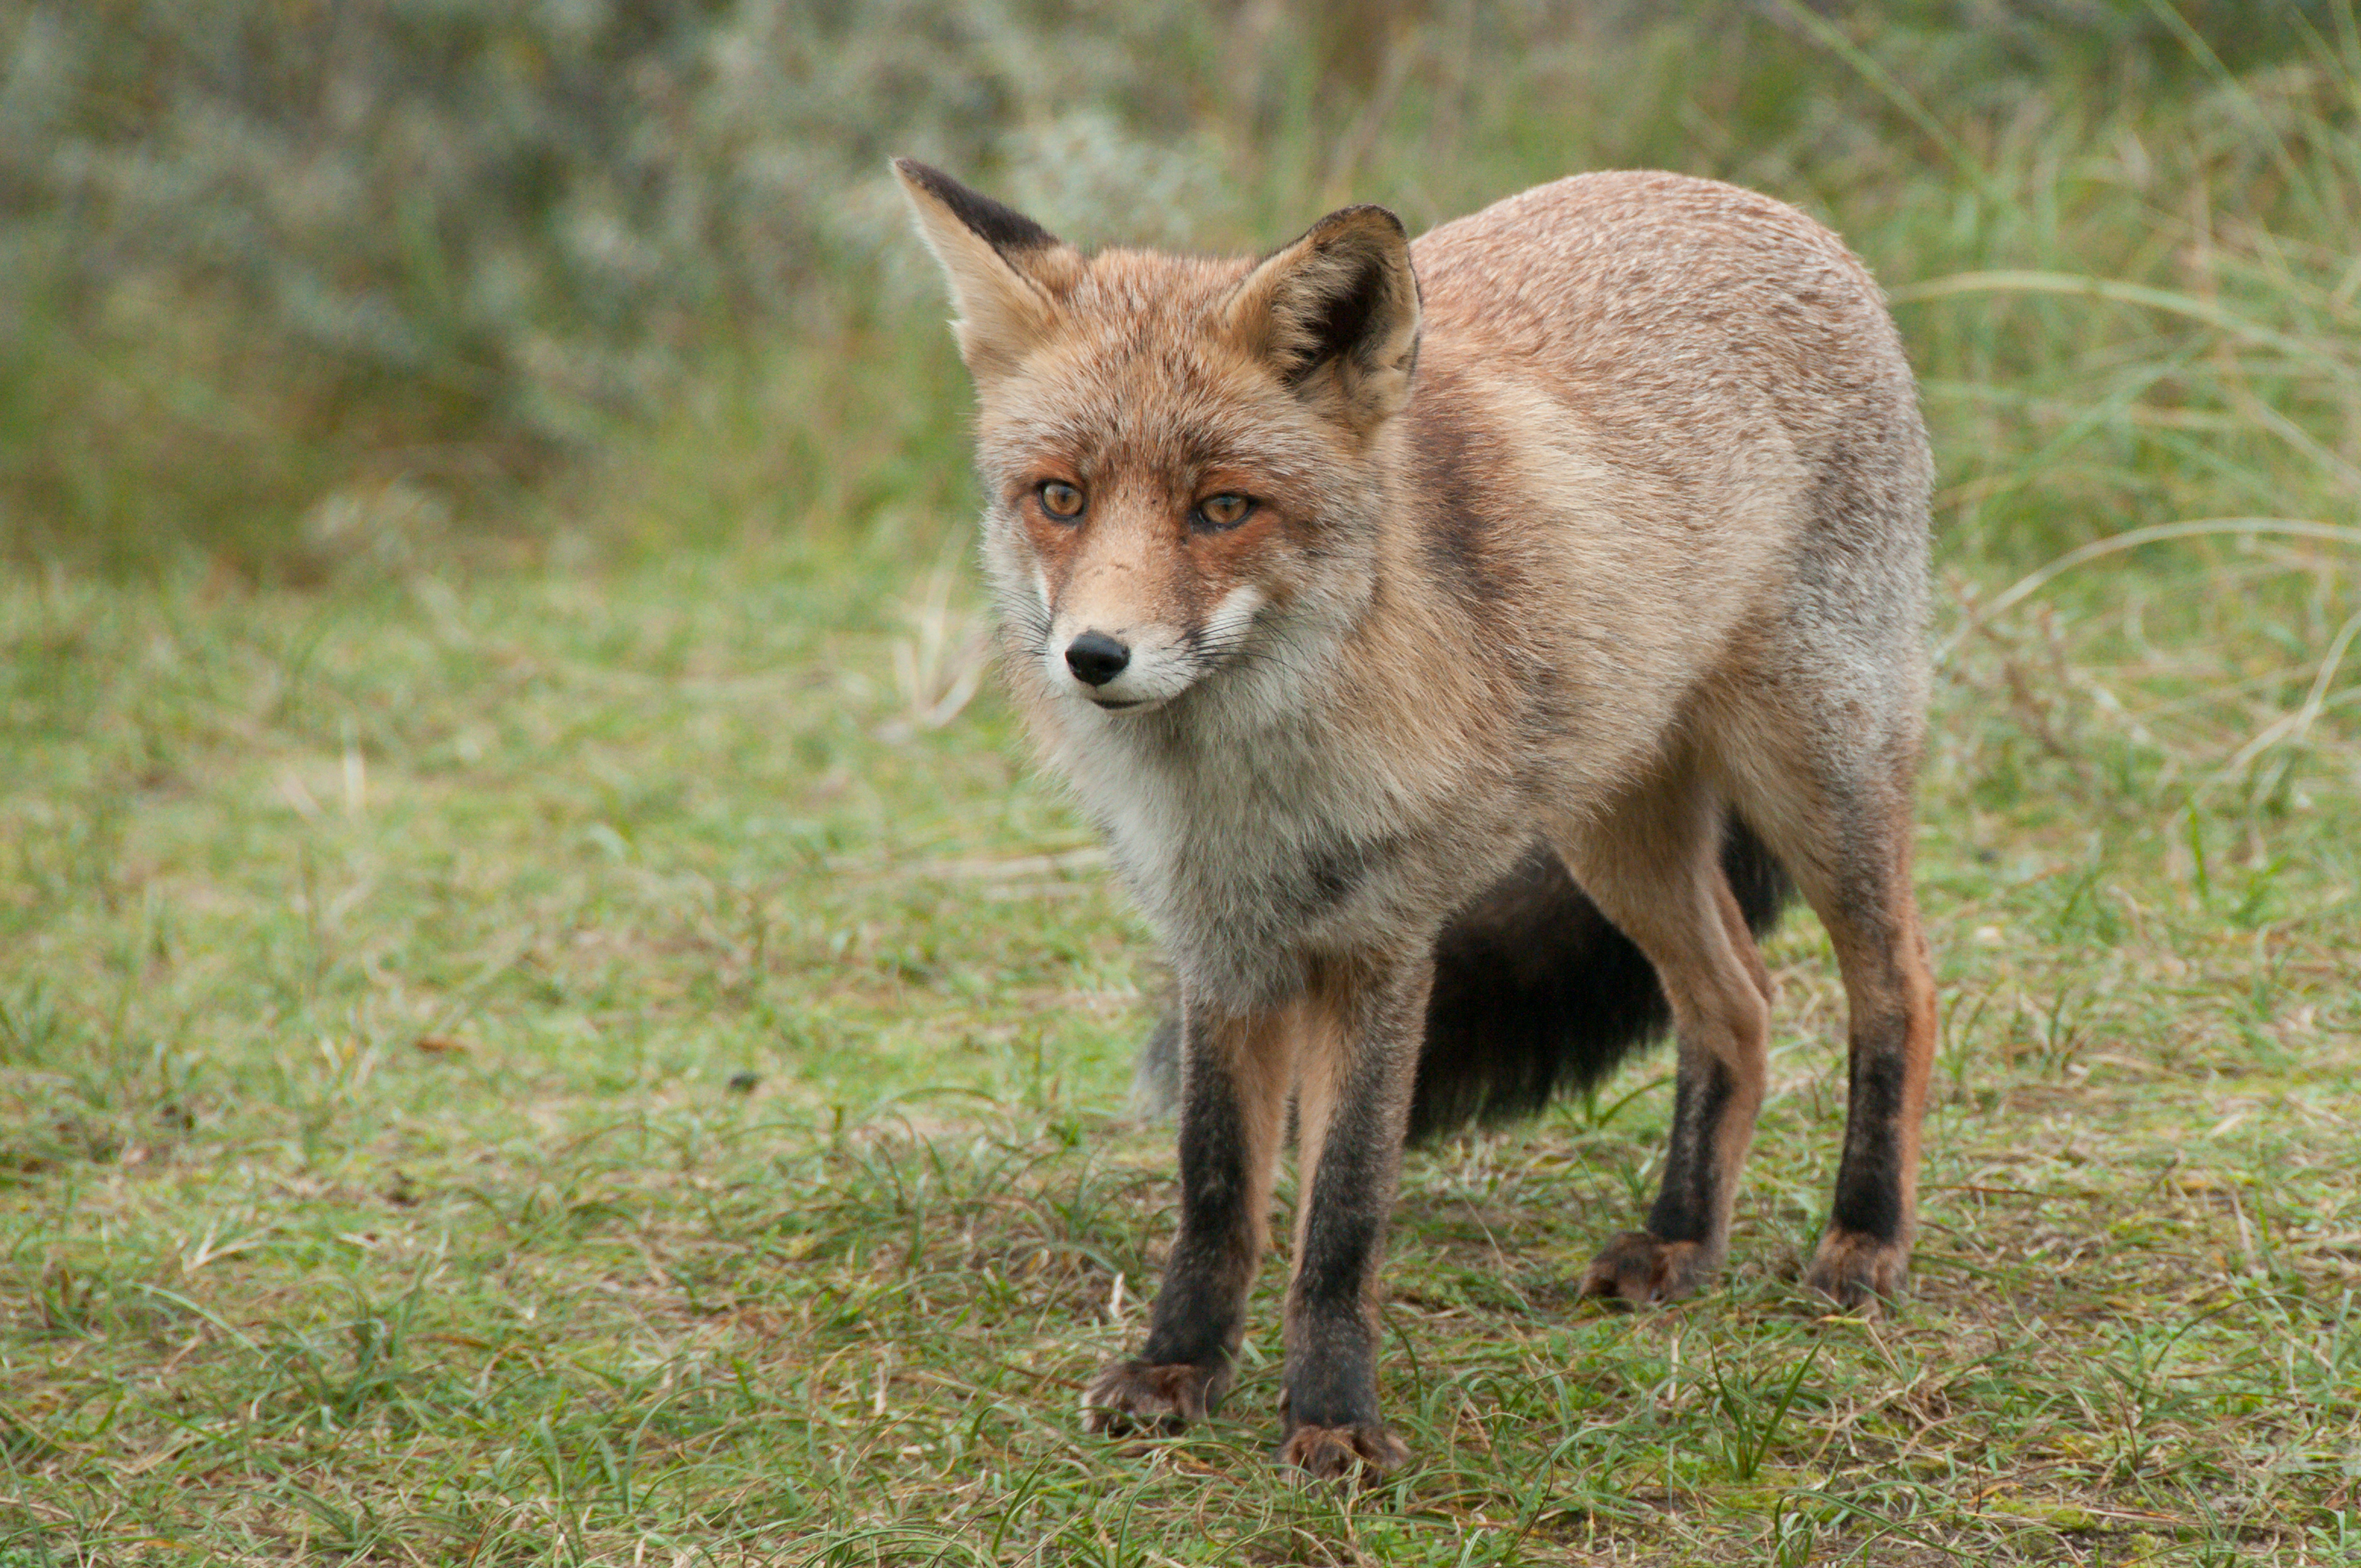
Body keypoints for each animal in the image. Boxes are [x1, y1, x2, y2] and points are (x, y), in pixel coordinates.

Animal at [892, 159, 1927, 1483]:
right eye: (1059, 498)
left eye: (1222, 507)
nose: (1094, 657)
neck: (1245, 784)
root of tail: (1748, 197)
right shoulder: (1222, 941)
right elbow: (1218, 1184)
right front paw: (1181, 1366)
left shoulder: (1382, 941)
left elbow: (1341, 1207)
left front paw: (1332, 1416)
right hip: (1614, 835)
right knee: (1733, 1004)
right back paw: (1680, 1239)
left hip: (1813, 770)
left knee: (1896, 985)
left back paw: (1862, 1236)